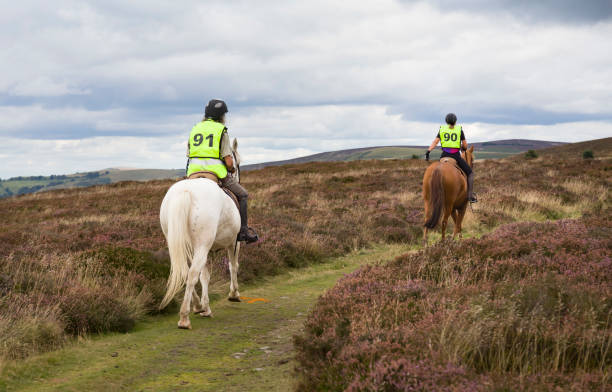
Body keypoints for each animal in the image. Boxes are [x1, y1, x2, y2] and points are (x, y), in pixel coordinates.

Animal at [158, 138, 241, 328]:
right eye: (237, 162)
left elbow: (206, 276)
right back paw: (184, 317)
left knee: (184, 271)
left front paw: (205, 308)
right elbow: (233, 266)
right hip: (202, 244)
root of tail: (185, 192)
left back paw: (195, 306)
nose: (235, 171)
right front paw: (234, 294)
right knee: (192, 273)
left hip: (182, 243)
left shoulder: (208, 248)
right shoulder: (234, 242)